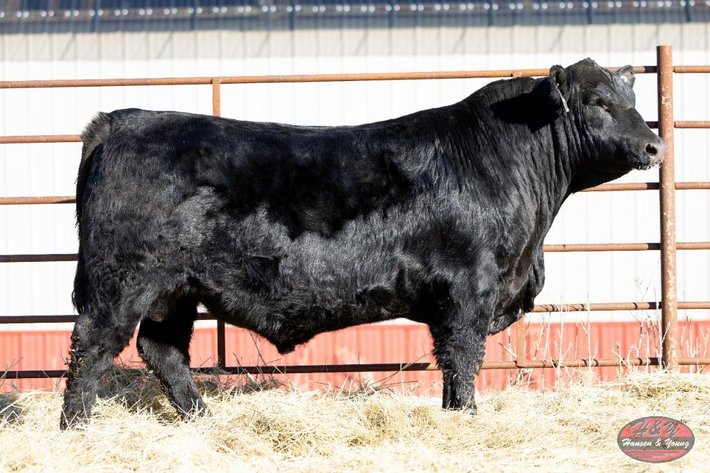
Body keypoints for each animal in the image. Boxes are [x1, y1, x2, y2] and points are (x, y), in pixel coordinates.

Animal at [60, 58, 664, 429]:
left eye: (631, 98)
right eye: (597, 102)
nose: (654, 145)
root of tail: (120, 120)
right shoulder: (469, 289)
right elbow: (462, 358)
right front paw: (465, 418)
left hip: (175, 290)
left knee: (162, 351)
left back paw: (201, 418)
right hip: (120, 282)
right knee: (91, 347)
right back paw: (76, 429)